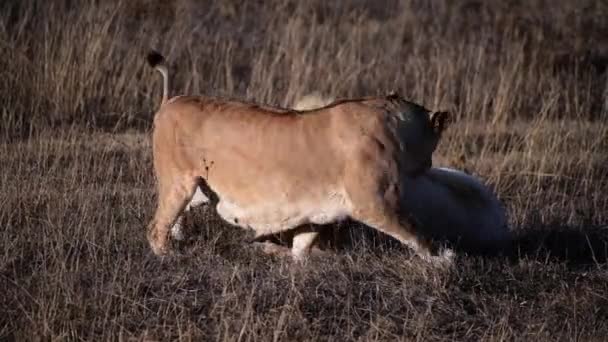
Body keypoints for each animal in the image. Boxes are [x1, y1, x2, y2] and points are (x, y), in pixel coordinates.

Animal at [146, 51, 452, 262]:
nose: (429, 165)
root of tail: (170, 101)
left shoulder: (316, 212)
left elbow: (301, 247)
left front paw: (293, 259)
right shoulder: (377, 202)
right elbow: (415, 234)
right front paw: (443, 260)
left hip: (199, 189)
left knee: (177, 217)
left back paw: (181, 237)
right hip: (178, 182)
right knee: (155, 228)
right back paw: (170, 256)